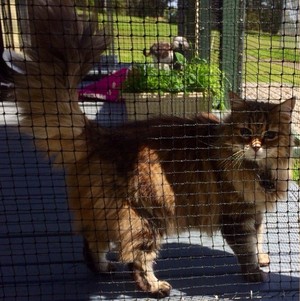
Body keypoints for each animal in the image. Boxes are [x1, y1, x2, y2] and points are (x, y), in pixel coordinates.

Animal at [10, 0, 294, 296]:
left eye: (270, 134)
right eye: (245, 132)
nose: (256, 146)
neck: (261, 172)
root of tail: (104, 135)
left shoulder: (256, 211)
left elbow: (258, 239)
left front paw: (262, 259)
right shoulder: (237, 216)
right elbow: (246, 248)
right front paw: (253, 272)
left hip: (112, 217)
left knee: (92, 244)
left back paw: (104, 268)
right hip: (146, 218)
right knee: (136, 259)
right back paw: (156, 287)